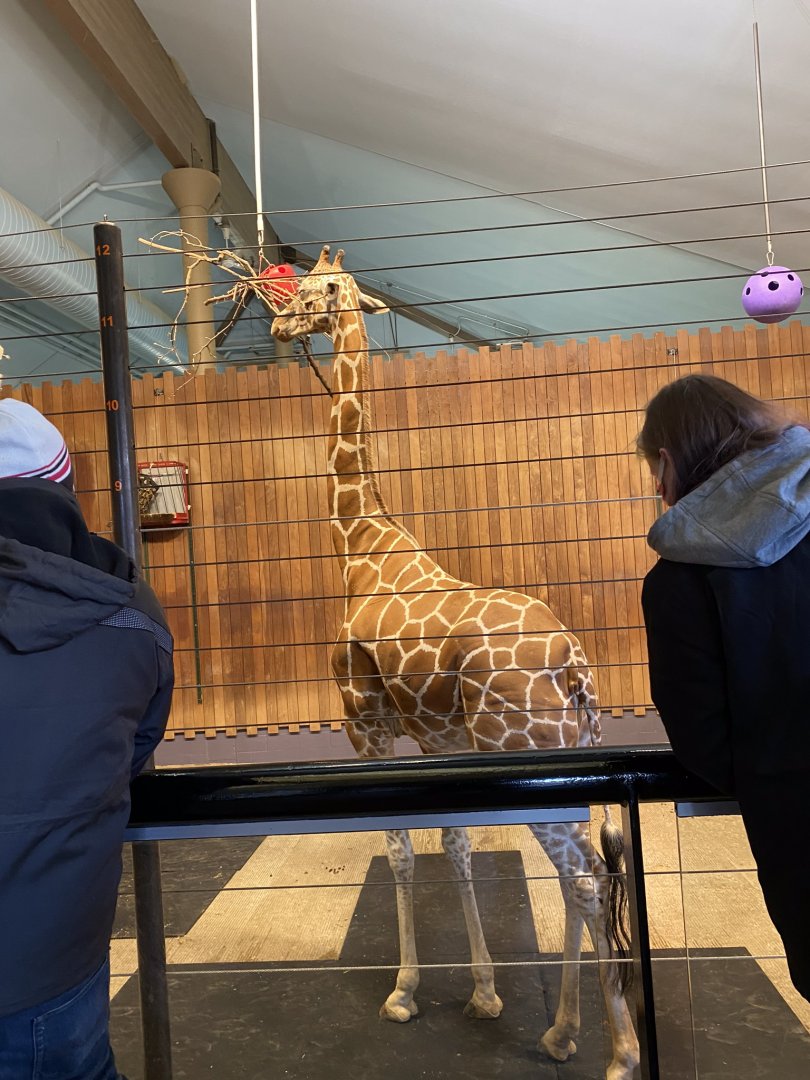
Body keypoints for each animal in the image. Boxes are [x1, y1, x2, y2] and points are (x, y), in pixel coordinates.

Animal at [271, 246, 640, 1080]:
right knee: (588, 875)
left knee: (582, 877)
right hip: (564, 754)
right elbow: (458, 845)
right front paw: (483, 991)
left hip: (521, 749)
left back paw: (608, 1048)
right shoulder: (439, 739)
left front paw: (404, 992)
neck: (359, 542)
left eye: (321, 288)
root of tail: (574, 666)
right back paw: (573, 1033)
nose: (280, 324)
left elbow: (404, 853)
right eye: (300, 284)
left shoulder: (365, 726)